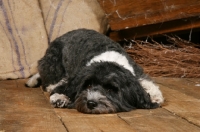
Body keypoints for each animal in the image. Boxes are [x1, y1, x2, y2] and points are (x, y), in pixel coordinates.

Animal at [25, 28, 164, 113]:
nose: (91, 103)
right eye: (88, 85)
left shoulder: (137, 72)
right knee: (49, 83)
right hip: (52, 62)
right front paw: (59, 98)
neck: (108, 59)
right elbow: (61, 88)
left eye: (110, 90)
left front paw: (155, 97)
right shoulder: (74, 78)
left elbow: (148, 83)